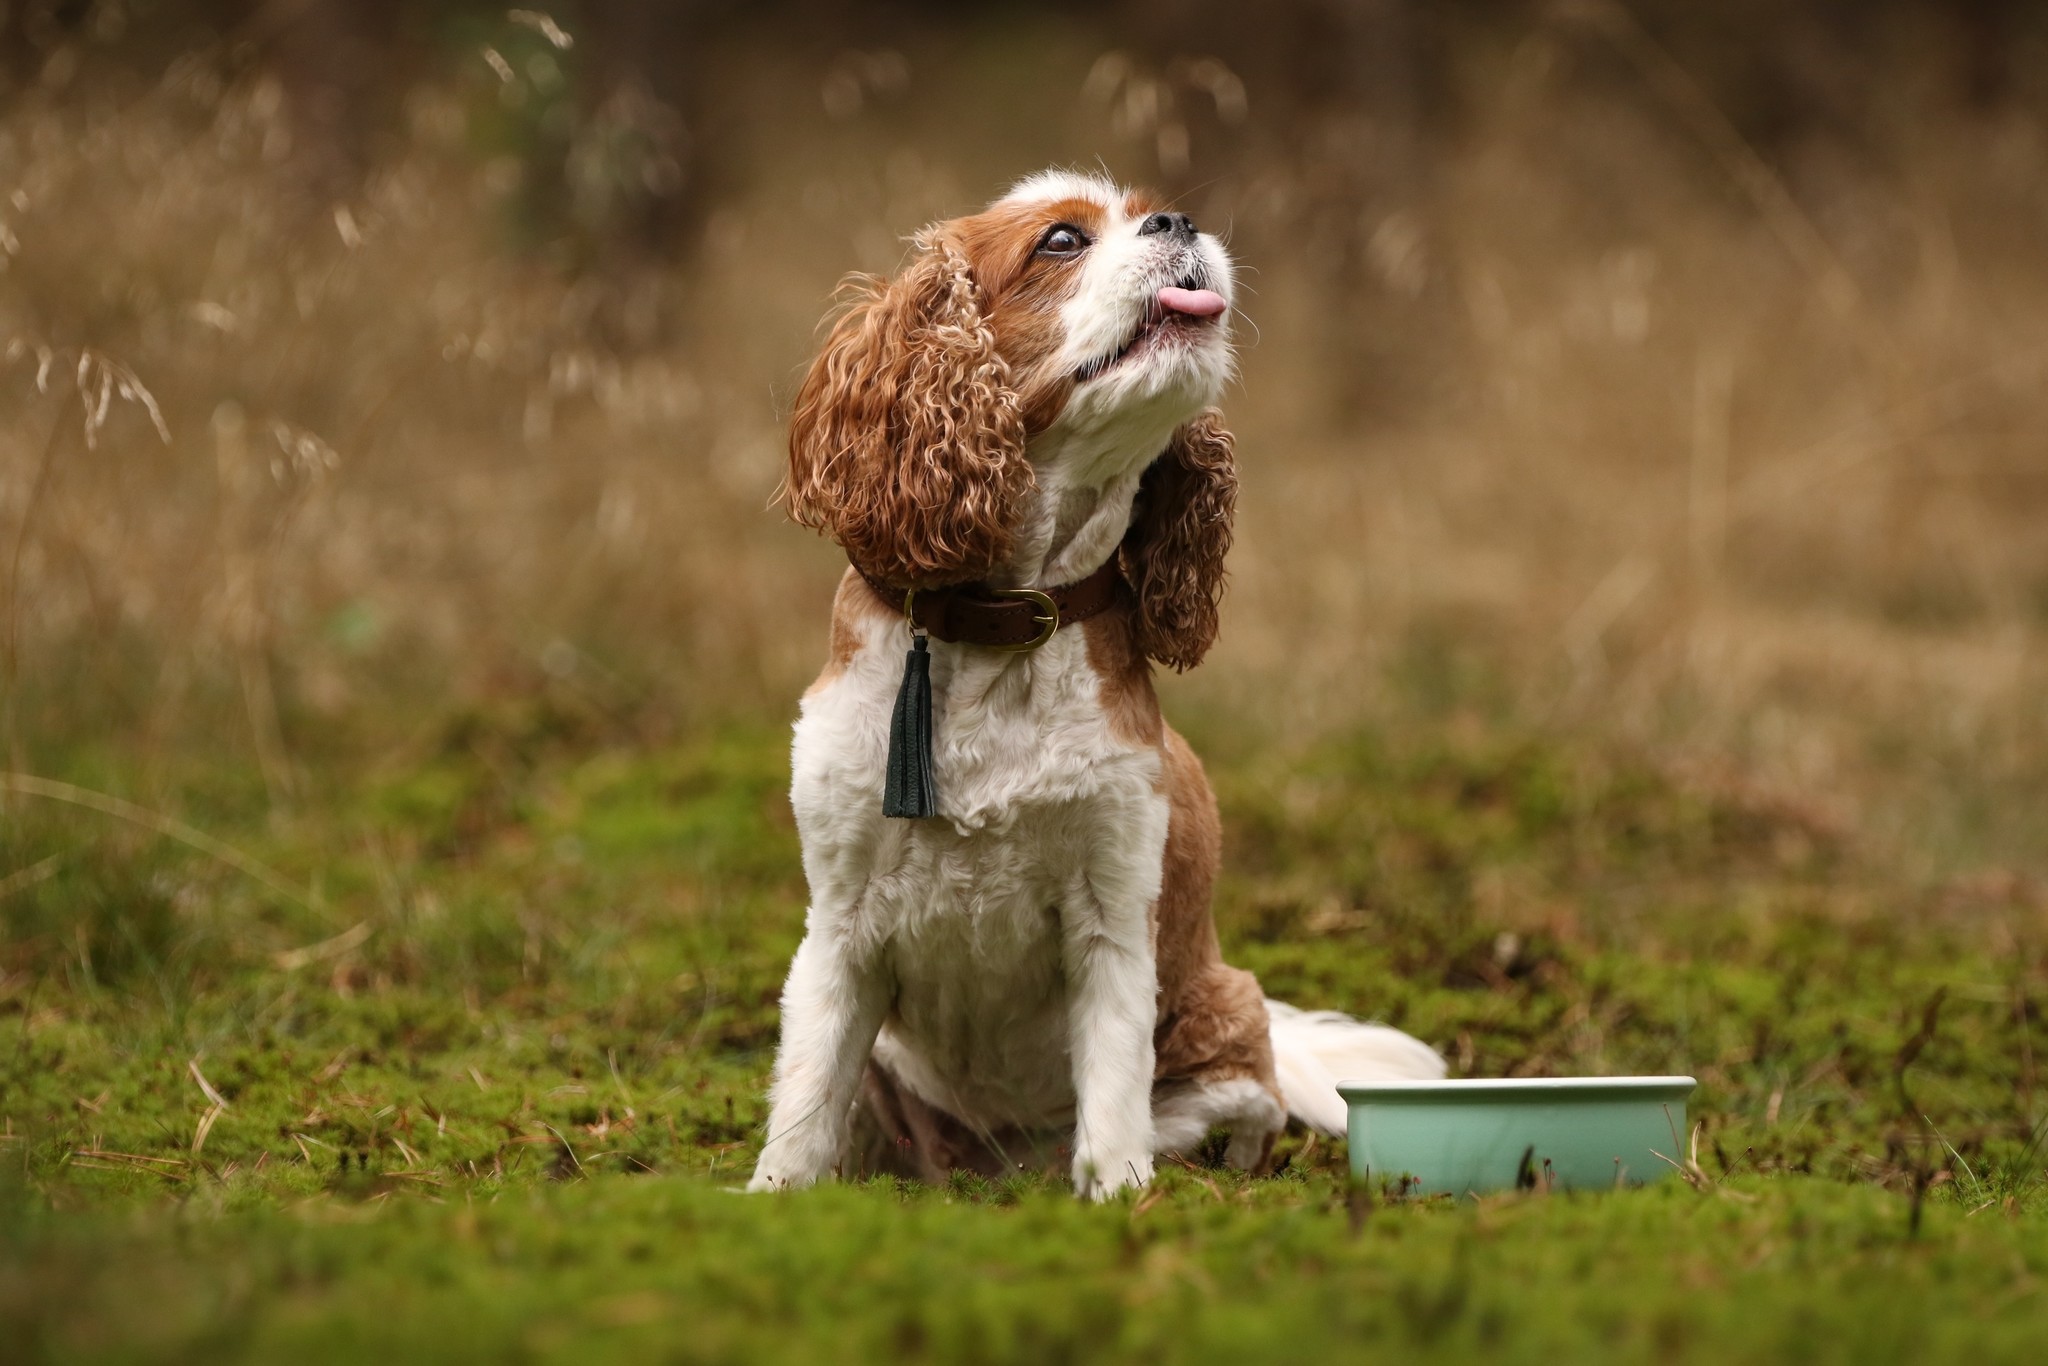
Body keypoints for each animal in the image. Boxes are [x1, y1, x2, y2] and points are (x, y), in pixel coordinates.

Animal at [753, 174, 1441, 1204]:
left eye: (1154, 210)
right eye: (1062, 241)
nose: (1180, 220)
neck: (1004, 624)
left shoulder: (1113, 914)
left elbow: (1115, 1089)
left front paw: (1118, 1193)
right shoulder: (837, 926)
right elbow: (804, 1097)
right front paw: (773, 1195)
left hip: (1227, 1033)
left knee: (1245, 1116)